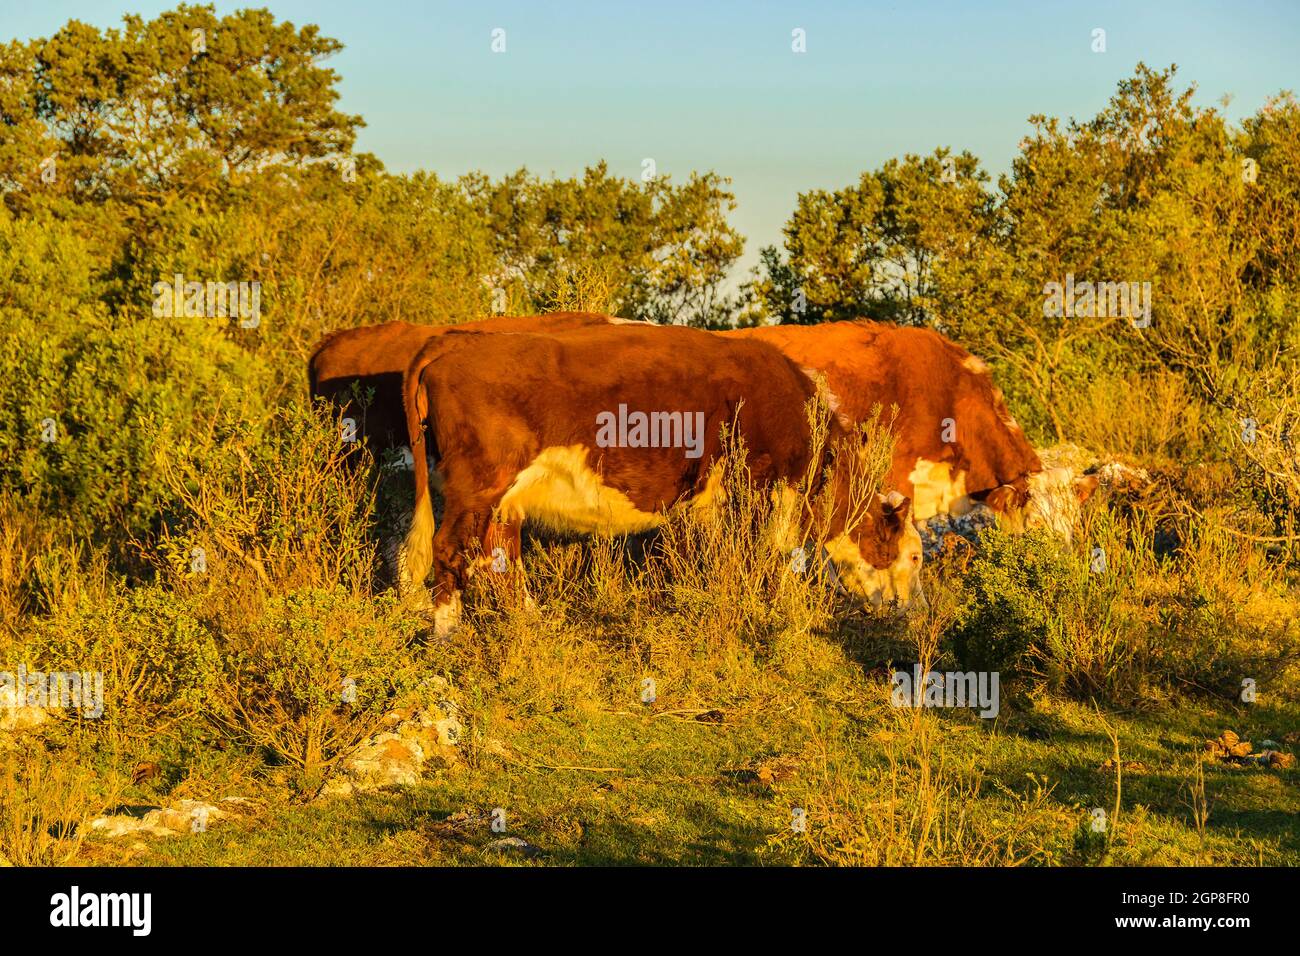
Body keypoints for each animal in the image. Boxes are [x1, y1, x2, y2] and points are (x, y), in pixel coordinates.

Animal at [400, 323, 920, 634]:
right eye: (914, 556)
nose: (911, 611)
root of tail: (463, 337)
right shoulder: (760, 487)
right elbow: (764, 556)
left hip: (504, 494)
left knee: (500, 551)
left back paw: (532, 618)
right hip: (477, 483)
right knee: (450, 547)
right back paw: (446, 631)